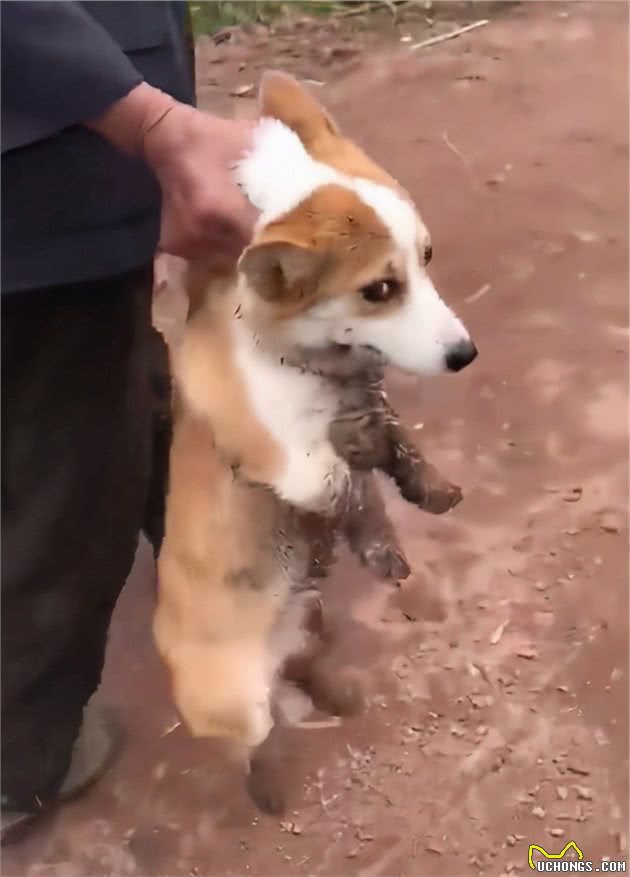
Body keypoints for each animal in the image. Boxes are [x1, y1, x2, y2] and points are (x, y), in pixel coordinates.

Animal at [154, 70, 478, 816]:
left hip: (306, 619)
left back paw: (329, 690)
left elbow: (394, 448)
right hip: (238, 704)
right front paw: (382, 541)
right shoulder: (299, 463)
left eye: (426, 258)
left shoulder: (363, 408)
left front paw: (430, 491)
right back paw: (268, 781)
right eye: (380, 288)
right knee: (249, 741)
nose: (465, 355)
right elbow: (356, 487)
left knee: (301, 665)